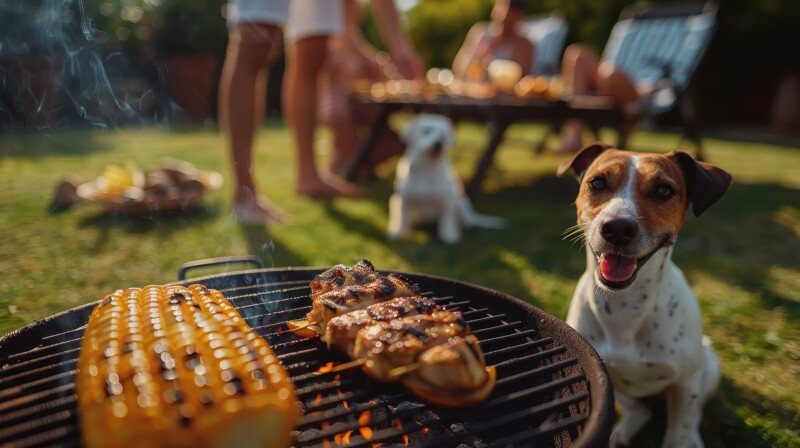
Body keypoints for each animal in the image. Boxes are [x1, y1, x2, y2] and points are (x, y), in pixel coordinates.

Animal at [384, 114, 504, 243]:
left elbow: (447, 221)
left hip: (461, 204)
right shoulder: (404, 199)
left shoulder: (447, 201)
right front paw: (398, 233)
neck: (427, 169)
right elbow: (402, 218)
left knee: (464, 222)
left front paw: (449, 236)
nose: (439, 143)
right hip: (394, 201)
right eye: (427, 131)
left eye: (443, 135)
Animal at [556, 144, 732, 448]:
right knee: (640, 409)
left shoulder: (685, 382)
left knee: (693, 414)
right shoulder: (601, 375)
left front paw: (683, 437)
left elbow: (677, 434)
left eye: (663, 190)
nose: (617, 228)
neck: (626, 306)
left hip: (707, 368)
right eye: (597, 183)